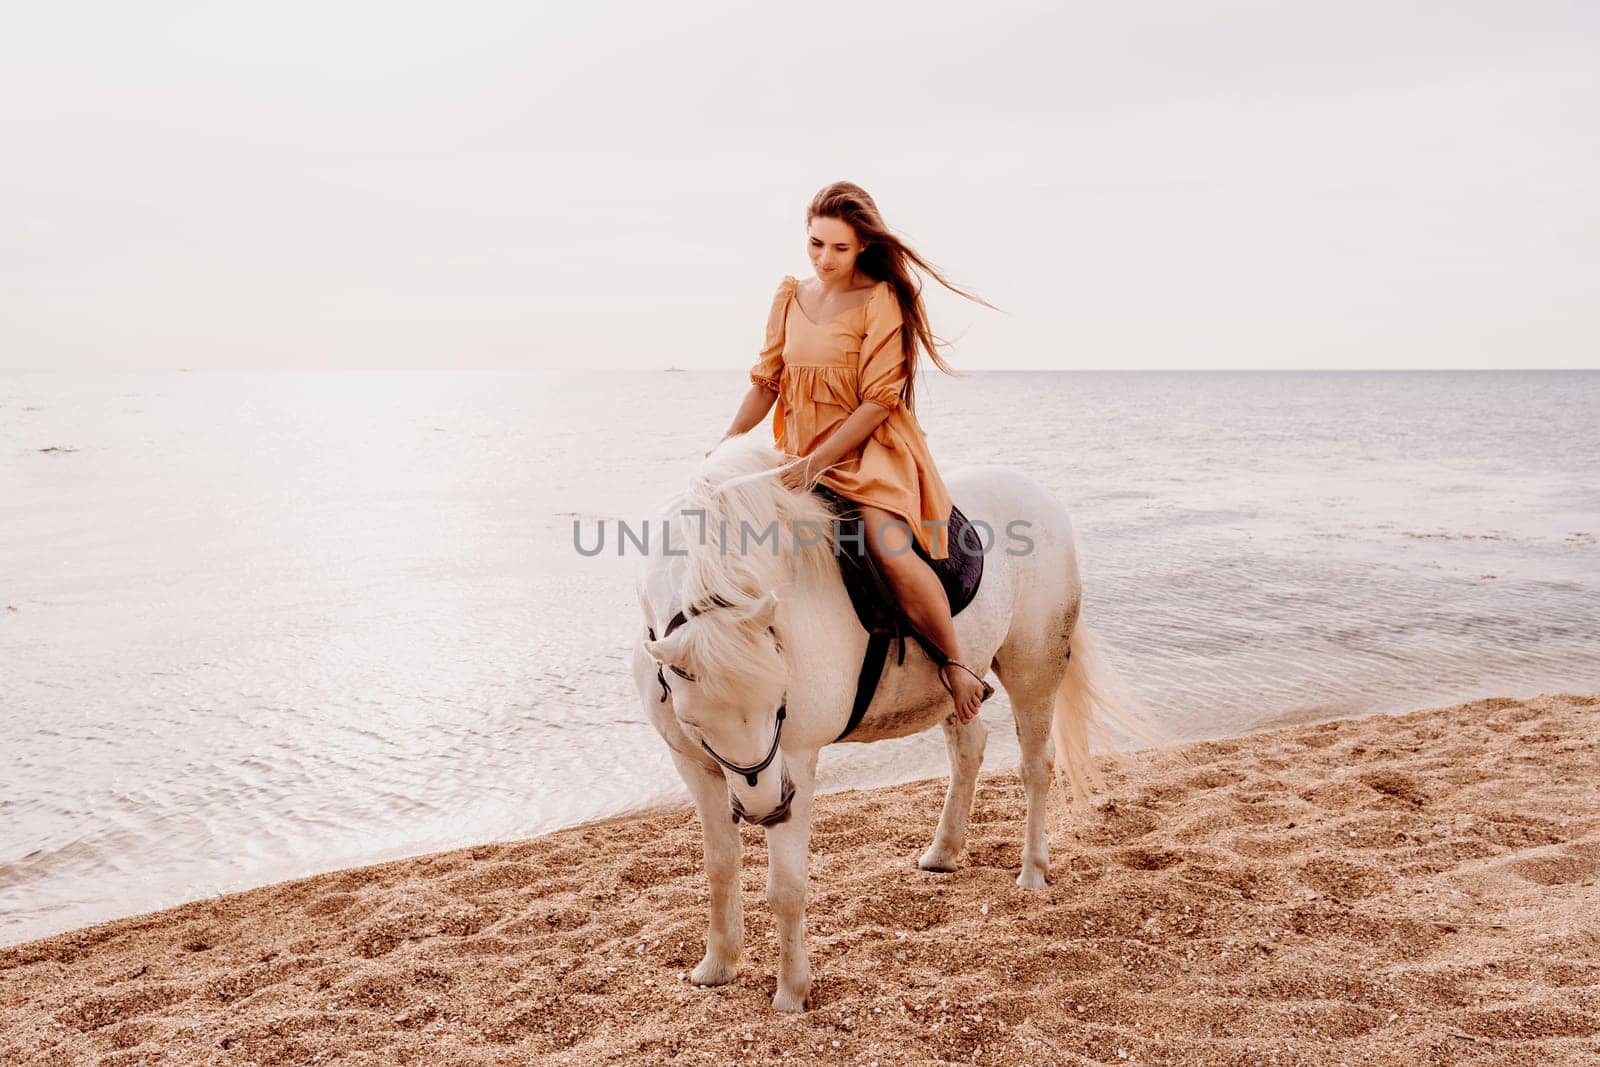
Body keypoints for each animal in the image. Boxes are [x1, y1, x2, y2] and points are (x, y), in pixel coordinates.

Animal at [630, 438, 1145, 1017]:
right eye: (694, 721)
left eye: (780, 705)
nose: (766, 810)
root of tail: (1040, 496)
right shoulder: (694, 764)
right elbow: (719, 865)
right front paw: (717, 965)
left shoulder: (795, 761)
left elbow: (786, 887)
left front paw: (791, 992)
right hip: (958, 683)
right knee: (969, 750)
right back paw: (943, 852)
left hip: (1032, 668)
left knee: (1036, 767)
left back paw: (1033, 868)